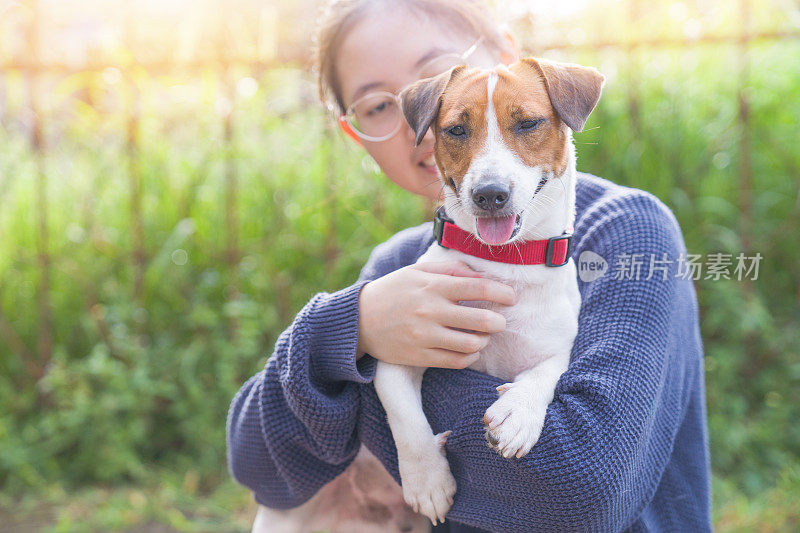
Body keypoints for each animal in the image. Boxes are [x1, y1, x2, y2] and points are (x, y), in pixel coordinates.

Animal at [376, 55, 608, 524]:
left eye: (528, 123)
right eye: (456, 130)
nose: (490, 194)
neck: (503, 263)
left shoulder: (556, 348)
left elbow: (547, 373)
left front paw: (518, 411)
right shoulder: (398, 351)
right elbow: (404, 416)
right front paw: (427, 480)